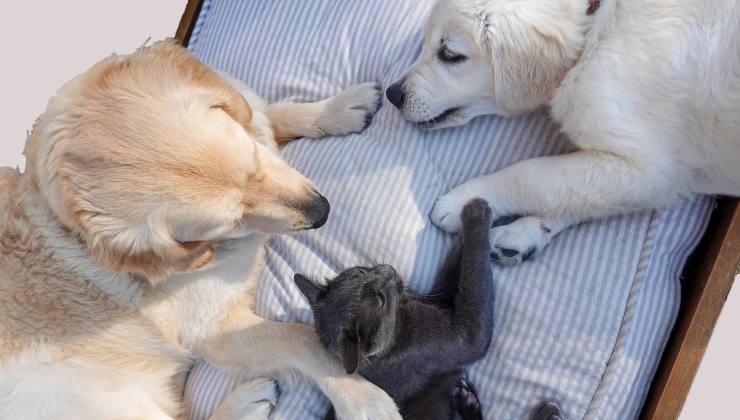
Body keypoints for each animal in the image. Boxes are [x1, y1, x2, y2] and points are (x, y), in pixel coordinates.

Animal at [388, 0, 740, 262]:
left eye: (451, 55)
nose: (392, 94)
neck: (596, 24)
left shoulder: (654, 169)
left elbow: (534, 175)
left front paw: (465, 201)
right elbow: (574, 189)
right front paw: (527, 232)